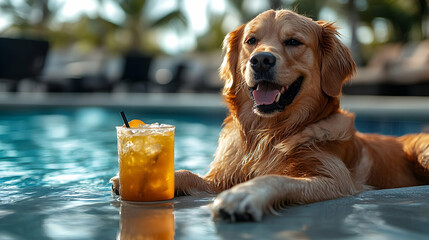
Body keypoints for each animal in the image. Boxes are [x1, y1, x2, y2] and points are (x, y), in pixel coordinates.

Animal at [111, 9, 428, 223]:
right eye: (251, 40)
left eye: (293, 42)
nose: (261, 60)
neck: (268, 133)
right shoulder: (221, 177)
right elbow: (189, 174)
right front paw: (147, 178)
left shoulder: (333, 178)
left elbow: (275, 178)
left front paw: (243, 195)